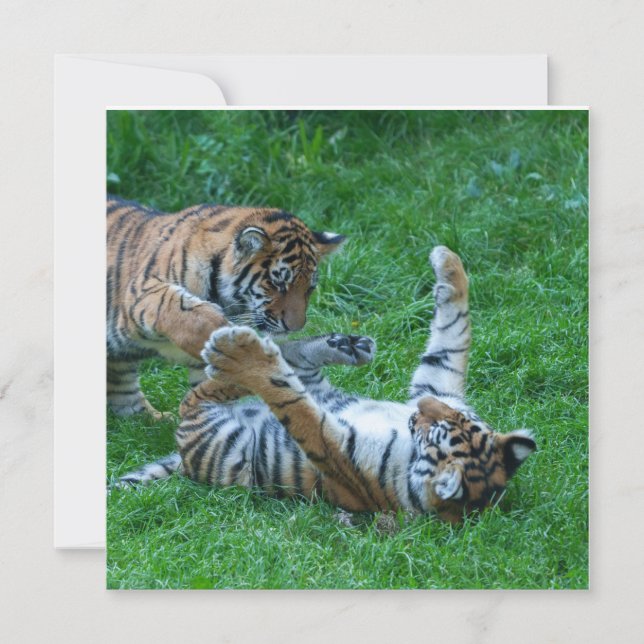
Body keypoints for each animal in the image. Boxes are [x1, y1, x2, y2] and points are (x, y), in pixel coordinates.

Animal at [118, 246, 536, 523]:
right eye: (448, 417)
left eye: (435, 430)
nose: (419, 410)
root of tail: (184, 459)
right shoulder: (439, 383)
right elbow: (454, 336)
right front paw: (447, 262)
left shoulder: (337, 454)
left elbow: (293, 405)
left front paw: (245, 358)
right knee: (293, 360)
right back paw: (346, 346)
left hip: (211, 429)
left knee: (205, 392)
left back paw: (231, 348)